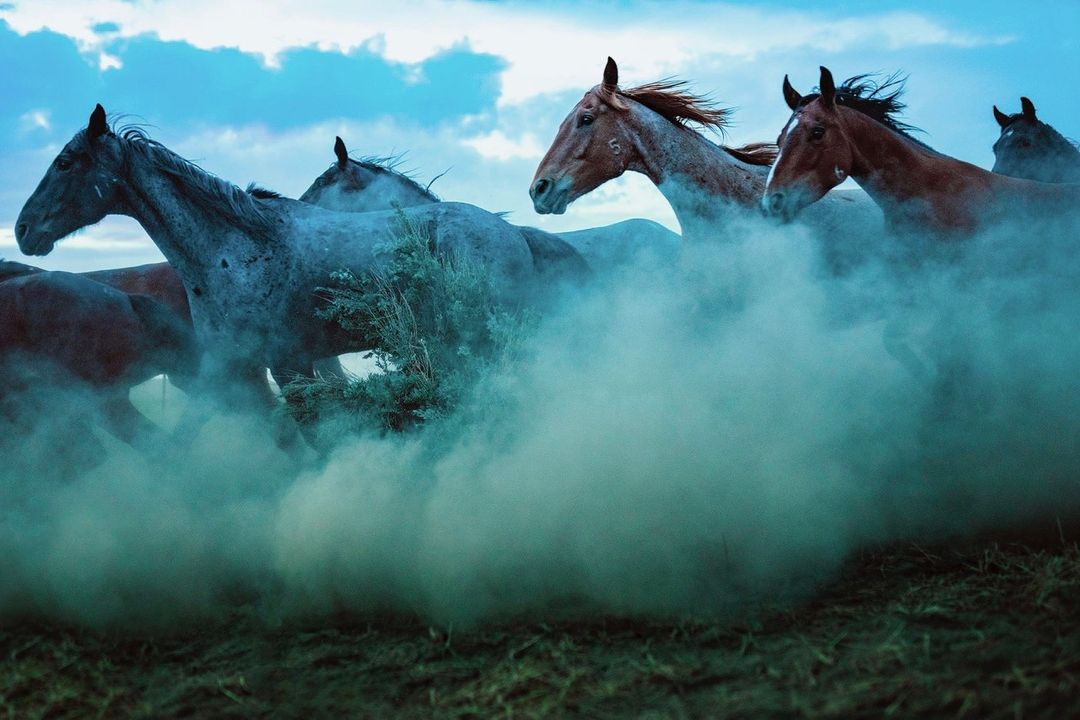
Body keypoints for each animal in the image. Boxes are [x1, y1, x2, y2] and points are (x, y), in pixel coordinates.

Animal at [15, 105, 587, 423]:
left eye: (65, 162)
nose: (23, 230)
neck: (230, 250)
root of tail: (512, 233)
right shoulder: (234, 369)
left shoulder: (287, 362)